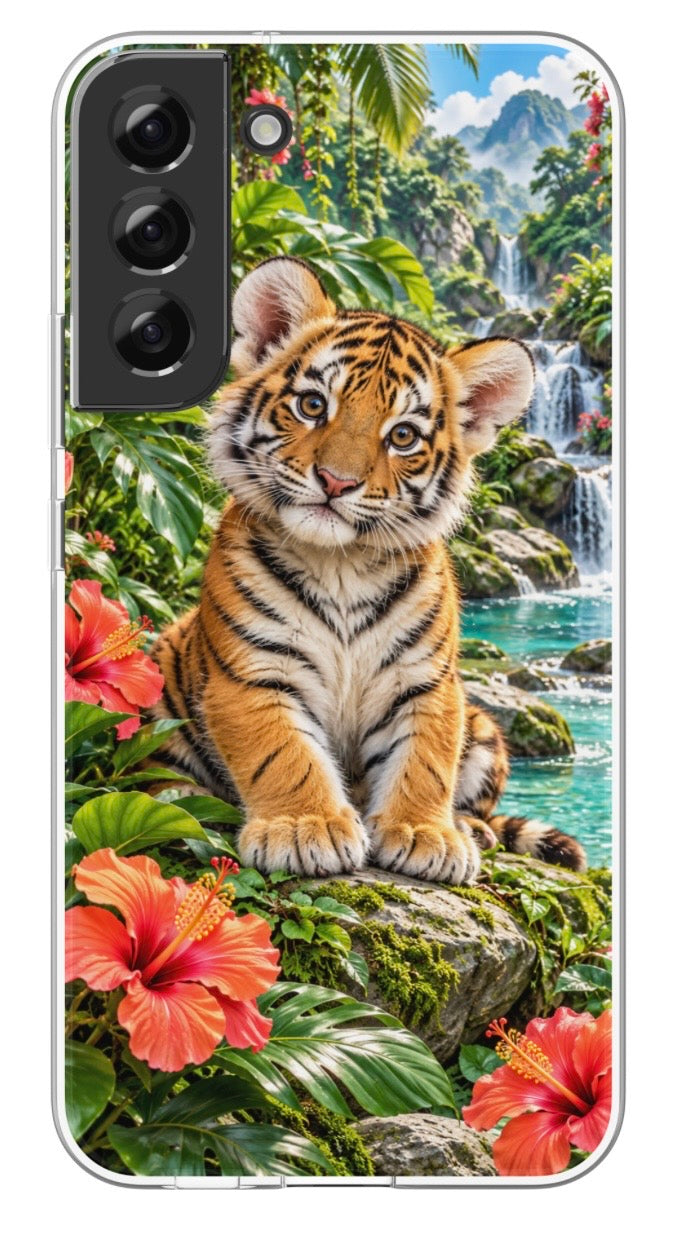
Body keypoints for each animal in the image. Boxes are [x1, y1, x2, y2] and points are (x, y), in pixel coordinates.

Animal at [151, 256, 586, 883]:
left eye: (402, 436)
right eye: (313, 406)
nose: (337, 482)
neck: (341, 563)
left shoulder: (427, 680)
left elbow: (425, 759)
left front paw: (426, 835)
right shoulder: (253, 671)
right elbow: (282, 752)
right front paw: (304, 827)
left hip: (484, 727)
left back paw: (471, 829)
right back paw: (182, 795)